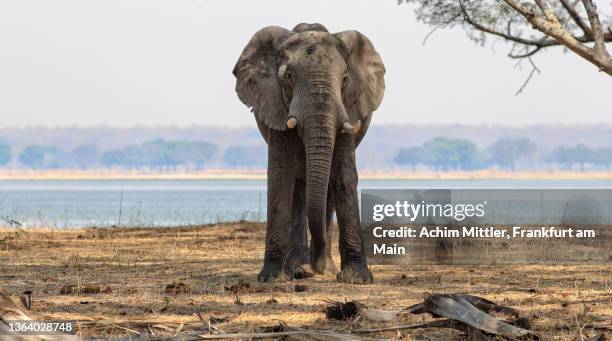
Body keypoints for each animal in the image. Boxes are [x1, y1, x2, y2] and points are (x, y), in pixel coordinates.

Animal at [232, 23, 384, 282]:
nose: (318, 267)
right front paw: (271, 278)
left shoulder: (348, 109)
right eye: (288, 77)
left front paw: (356, 279)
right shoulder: (276, 108)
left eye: (345, 79)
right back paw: (300, 269)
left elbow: (343, 175)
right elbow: (280, 176)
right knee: (298, 187)